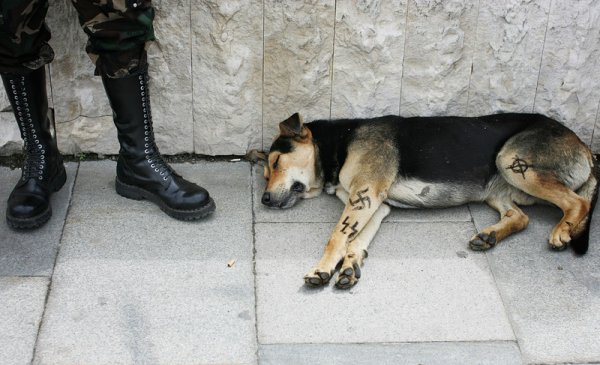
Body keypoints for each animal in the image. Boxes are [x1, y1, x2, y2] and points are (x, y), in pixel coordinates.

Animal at [254, 112, 600, 288]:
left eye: (276, 163)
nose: (265, 199)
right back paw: (489, 236)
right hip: (497, 186)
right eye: (265, 173)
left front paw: (322, 268)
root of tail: (584, 146)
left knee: (577, 203)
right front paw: (351, 265)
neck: (339, 143)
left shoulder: (365, 196)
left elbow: (337, 237)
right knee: (521, 217)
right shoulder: (376, 205)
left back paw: (562, 230)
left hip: (512, 160)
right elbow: (355, 241)